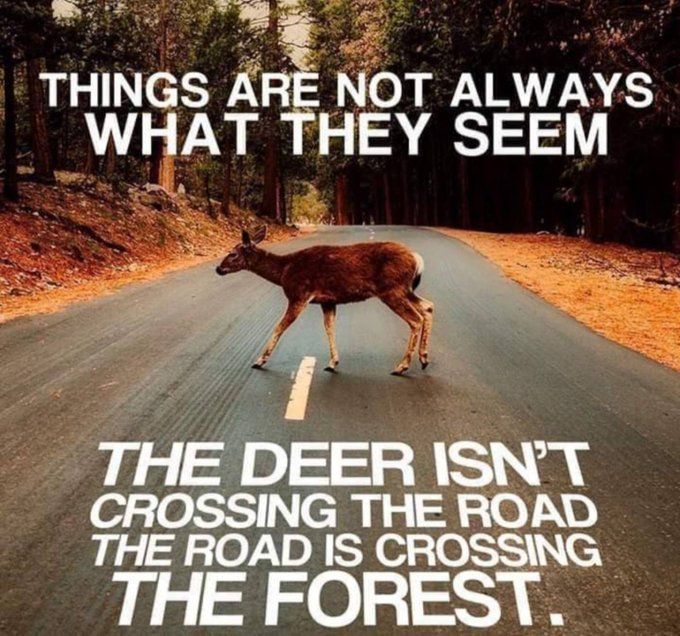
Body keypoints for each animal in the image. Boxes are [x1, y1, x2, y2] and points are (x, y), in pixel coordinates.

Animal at [216, 227, 434, 375]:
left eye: (232, 254)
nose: (218, 268)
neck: (284, 270)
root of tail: (417, 258)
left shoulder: (299, 294)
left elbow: (279, 327)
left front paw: (259, 360)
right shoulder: (327, 301)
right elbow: (329, 327)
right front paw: (332, 362)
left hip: (392, 289)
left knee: (415, 319)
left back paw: (401, 366)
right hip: (404, 289)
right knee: (428, 307)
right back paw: (423, 359)